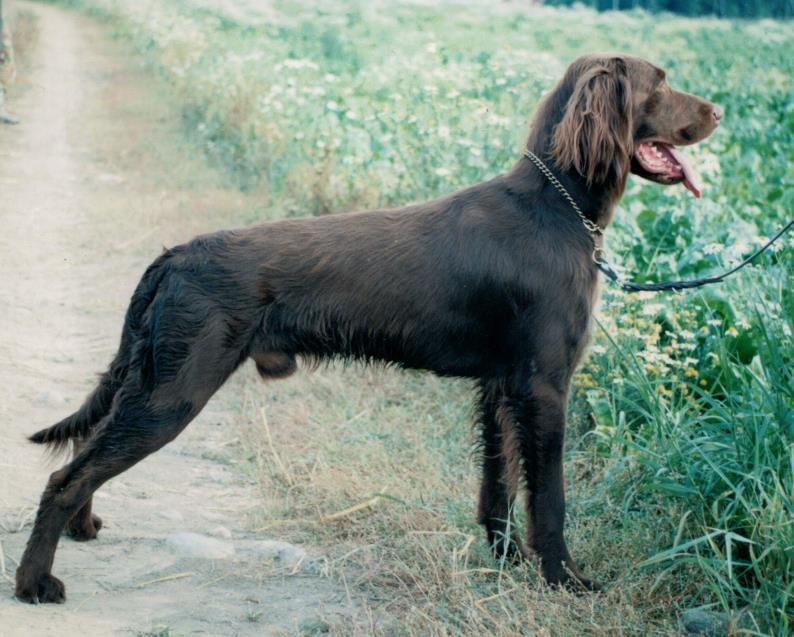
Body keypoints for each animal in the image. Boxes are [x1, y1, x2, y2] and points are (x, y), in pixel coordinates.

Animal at [15, 53, 720, 600]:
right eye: (660, 82)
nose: (717, 112)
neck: (556, 206)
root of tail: (176, 255)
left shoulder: (501, 387)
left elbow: (498, 488)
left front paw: (505, 563)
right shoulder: (545, 387)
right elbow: (549, 498)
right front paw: (565, 581)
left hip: (152, 380)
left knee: (86, 453)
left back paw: (82, 529)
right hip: (174, 391)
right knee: (65, 475)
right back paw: (34, 583)